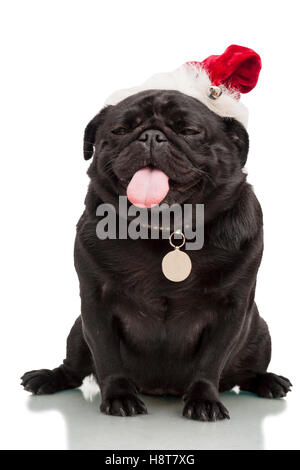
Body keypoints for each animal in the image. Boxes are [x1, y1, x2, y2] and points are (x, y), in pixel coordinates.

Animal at [20, 90, 290, 420]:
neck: (163, 232)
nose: (150, 136)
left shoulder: (231, 310)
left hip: (260, 333)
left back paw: (268, 381)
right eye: (120, 130)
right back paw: (47, 377)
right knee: (73, 368)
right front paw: (120, 396)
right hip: (76, 333)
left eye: (189, 130)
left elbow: (211, 361)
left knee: (248, 371)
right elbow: (107, 355)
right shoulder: (96, 304)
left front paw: (204, 400)